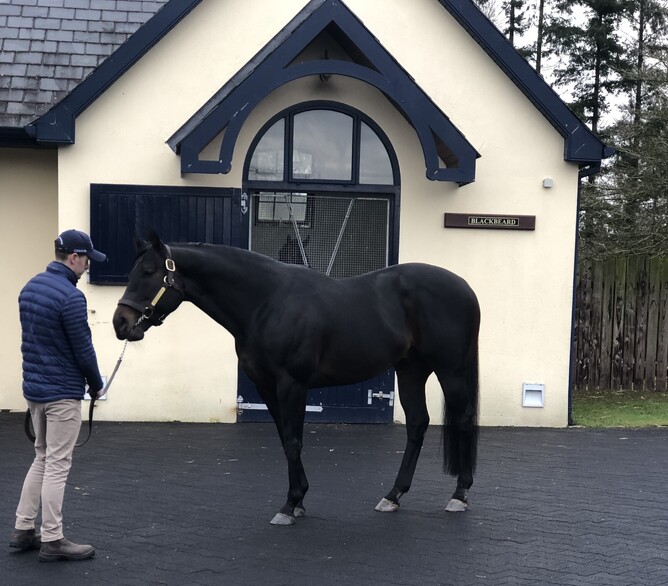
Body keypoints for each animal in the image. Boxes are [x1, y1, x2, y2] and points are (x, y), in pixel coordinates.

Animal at [112, 232, 481, 525]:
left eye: (149, 272)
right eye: (130, 272)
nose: (121, 322)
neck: (266, 302)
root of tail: (465, 287)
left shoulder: (292, 384)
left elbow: (293, 441)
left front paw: (289, 506)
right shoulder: (266, 387)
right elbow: (284, 439)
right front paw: (299, 499)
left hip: (450, 370)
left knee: (463, 419)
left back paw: (459, 495)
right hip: (410, 370)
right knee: (417, 424)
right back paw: (393, 495)